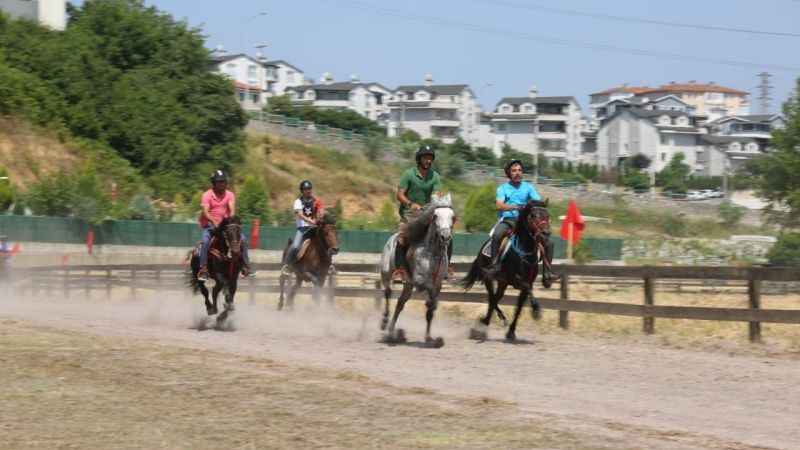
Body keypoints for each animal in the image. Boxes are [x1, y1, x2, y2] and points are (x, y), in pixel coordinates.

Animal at [378, 194, 454, 348]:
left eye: (452, 216)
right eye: (435, 216)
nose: (445, 237)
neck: (432, 254)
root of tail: (391, 239)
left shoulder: (437, 284)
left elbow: (430, 310)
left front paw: (429, 338)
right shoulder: (419, 281)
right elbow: (430, 297)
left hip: (408, 285)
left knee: (400, 304)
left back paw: (391, 332)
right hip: (387, 274)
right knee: (388, 293)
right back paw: (384, 323)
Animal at [460, 200, 552, 342]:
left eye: (547, 215)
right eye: (533, 216)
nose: (546, 233)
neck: (524, 252)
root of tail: (481, 250)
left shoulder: (526, 284)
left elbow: (518, 308)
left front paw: (511, 332)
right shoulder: (515, 279)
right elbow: (526, 289)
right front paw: (536, 311)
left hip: (502, 283)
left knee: (495, 299)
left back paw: (488, 322)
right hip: (489, 278)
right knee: (492, 298)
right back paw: (485, 324)